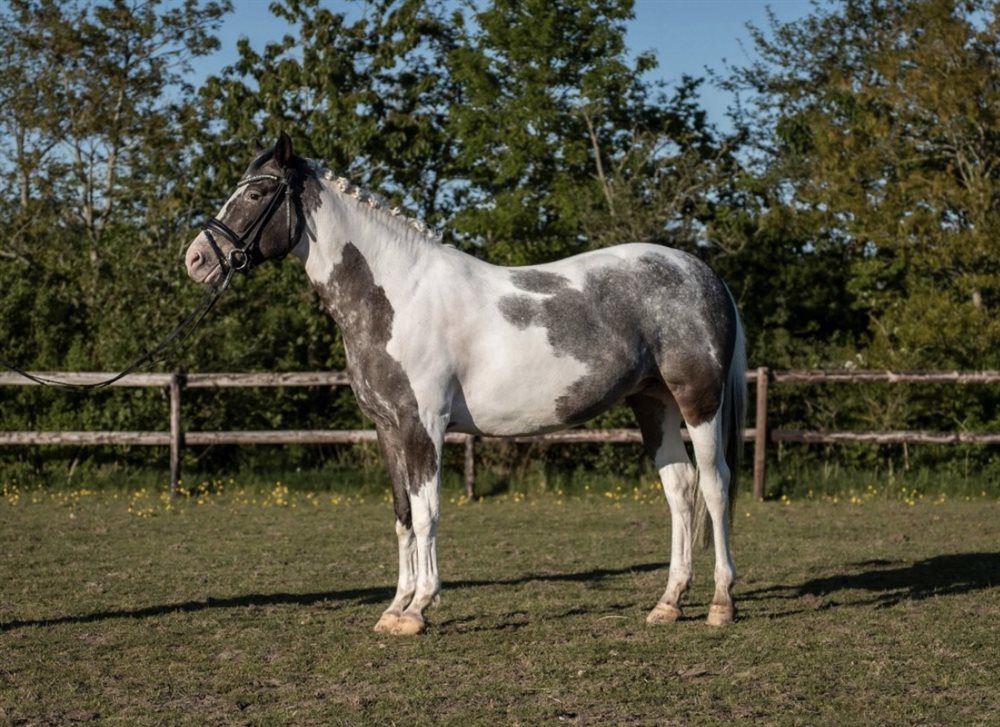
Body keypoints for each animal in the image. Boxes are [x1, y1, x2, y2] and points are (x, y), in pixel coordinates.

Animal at [185, 133, 747, 635]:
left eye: (256, 194)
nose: (195, 260)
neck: (397, 295)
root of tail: (705, 275)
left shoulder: (425, 426)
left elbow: (428, 512)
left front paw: (418, 609)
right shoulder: (389, 428)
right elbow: (402, 515)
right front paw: (395, 607)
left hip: (699, 401)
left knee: (715, 485)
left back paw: (720, 603)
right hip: (653, 403)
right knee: (680, 489)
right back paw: (668, 604)